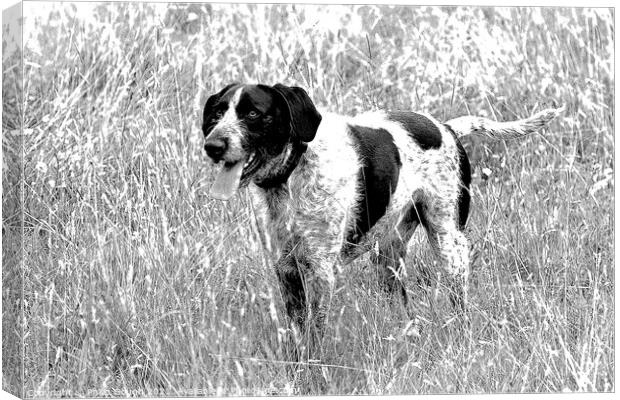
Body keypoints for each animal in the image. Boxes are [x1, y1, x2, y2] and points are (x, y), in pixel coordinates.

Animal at [200, 83, 560, 360]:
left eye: (253, 113)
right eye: (217, 114)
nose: (212, 145)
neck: (291, 175)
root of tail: (446, 128)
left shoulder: (320, 271)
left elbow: (315, 334)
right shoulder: (286, 268)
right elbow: (298, 334)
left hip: (449, 242)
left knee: (459, 305)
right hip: (388, 257)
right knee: (407, 311)